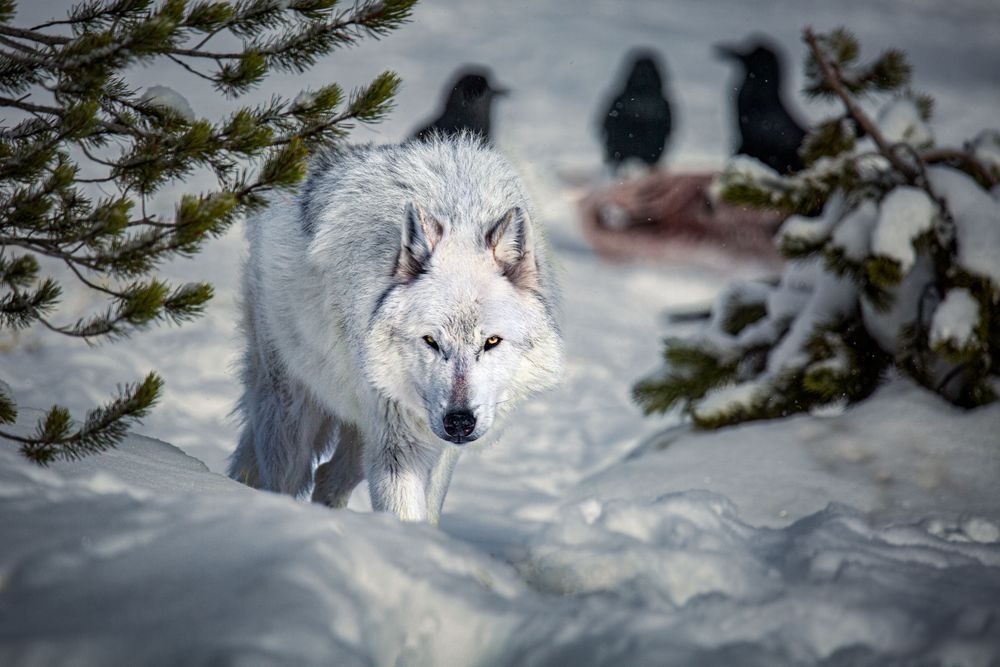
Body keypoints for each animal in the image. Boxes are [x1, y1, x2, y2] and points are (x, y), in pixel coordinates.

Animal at [228, 135, 563, 523]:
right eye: (431, 341)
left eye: (491, 341)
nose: (458, 422)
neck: (460, 213)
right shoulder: (397, 442)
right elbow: (403, 513)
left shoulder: (436, 448)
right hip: (292, 408)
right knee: (285, 476)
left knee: (328, 477)